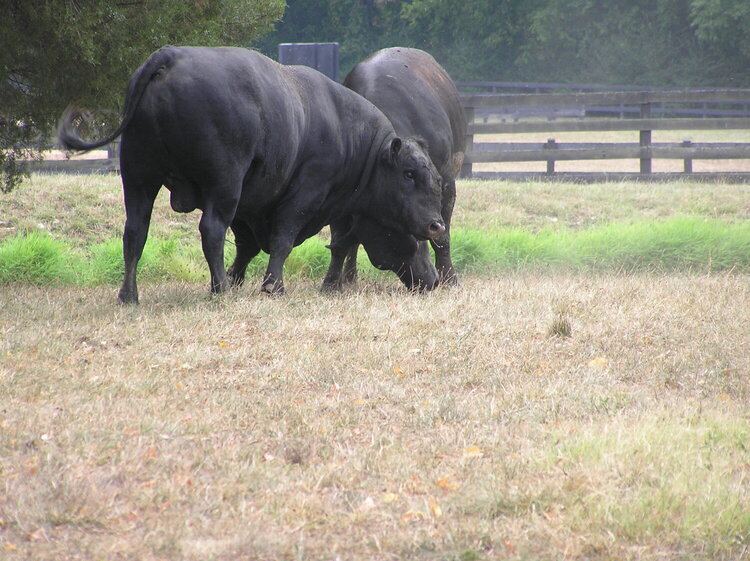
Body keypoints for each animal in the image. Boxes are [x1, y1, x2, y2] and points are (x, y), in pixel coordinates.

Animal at [58, 47, 450, 302]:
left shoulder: (251, 204)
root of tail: (170, 56)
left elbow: (247, 245)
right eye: (410, 174)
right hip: (223, 182)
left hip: (138, 177)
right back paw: (220, 290)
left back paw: (130, 294)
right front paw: (271, 285)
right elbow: (281, 241)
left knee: (135, 233)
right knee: (211, 230)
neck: (349, 135)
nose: (436, 226)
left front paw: (238, 277)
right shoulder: (303, 195)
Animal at [322, 47, 468, 290]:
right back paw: (350, 277)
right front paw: (332, 283)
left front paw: (451, 279)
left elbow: (442, 238)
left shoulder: (446, 183)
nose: (429, 281)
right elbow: (341, 243)